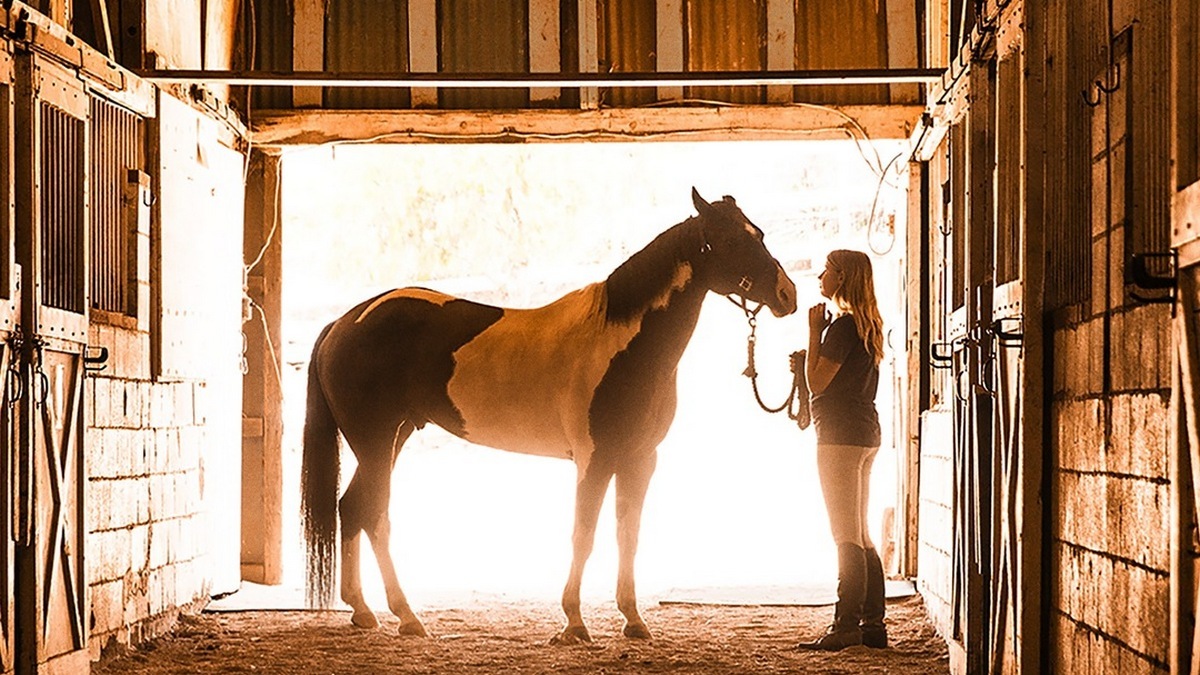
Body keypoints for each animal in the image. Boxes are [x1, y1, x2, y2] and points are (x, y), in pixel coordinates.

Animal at [302, 186, 796, 638]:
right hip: (375, 441)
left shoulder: (640, 459)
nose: (787, 294)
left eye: (758, 233)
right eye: (732, 240)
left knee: (354, 509)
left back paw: (365, 612)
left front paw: (633, 620)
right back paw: (406, 616)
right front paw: (574, 623)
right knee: (374, 514)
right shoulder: (594, 460)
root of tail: (343, 323)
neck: (620, 342)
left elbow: (628, 535)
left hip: (393, 437)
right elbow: (584, 534)